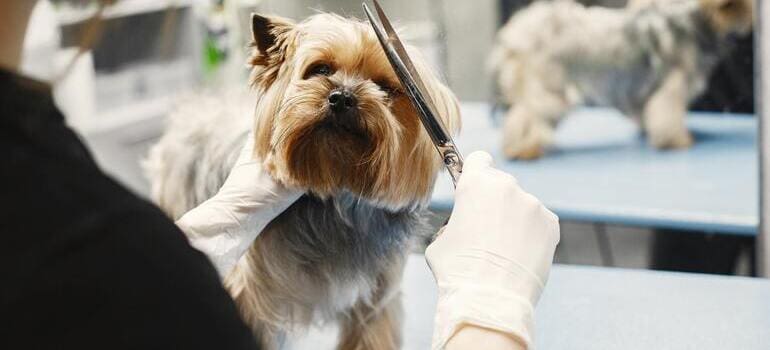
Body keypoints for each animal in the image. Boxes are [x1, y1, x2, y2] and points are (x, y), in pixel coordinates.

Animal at [146, 12, 456, 350]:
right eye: (320, 70)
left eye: (384, 87)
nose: (342, 98)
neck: (334, 196)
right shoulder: (251, 295)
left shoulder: (376, 298)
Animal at [492, 0, 752, 159]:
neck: (695, 20)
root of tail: (518, 33)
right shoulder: (671, 87)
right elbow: (668, 115)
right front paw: (676, 140)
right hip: (550, 88)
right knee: (526, 116)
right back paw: (524, 149)